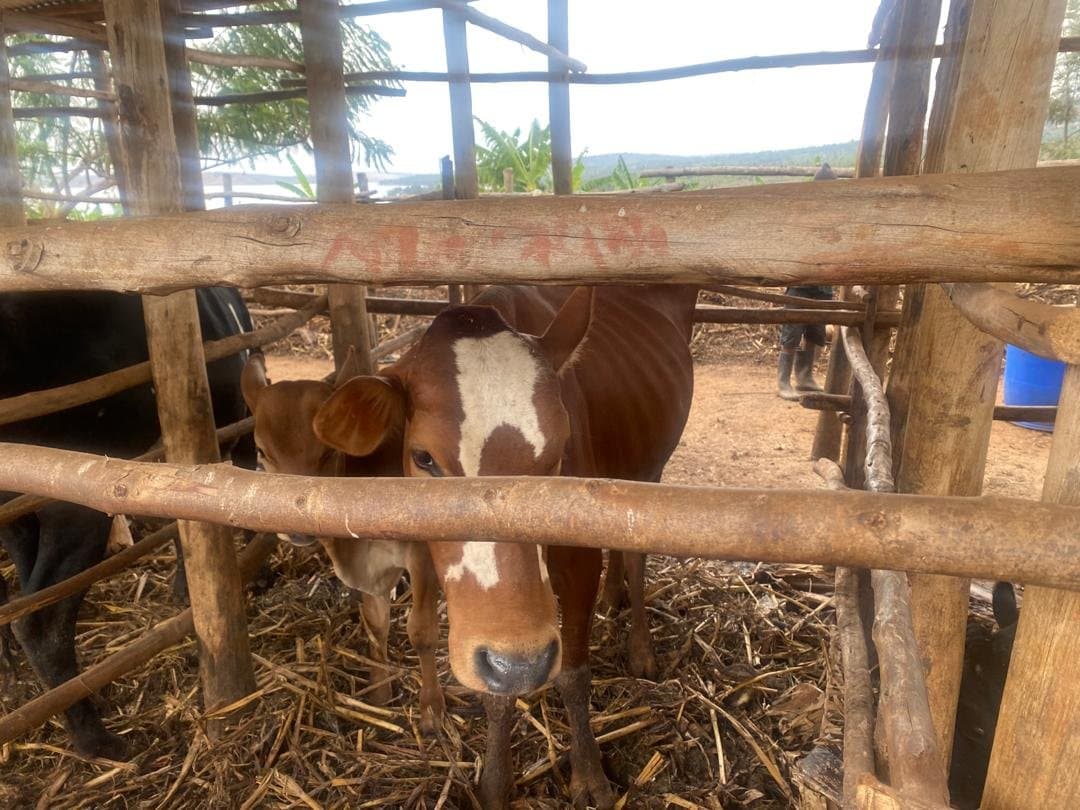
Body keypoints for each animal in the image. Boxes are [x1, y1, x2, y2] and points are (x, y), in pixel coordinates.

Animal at [239, 352, 444, 731]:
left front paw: (431, 711)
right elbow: (376, 623)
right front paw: (379, 691)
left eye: (326, 453)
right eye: (261, 451)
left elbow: (422, 632)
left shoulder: (423, 553)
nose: (297, 529)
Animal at [313, 284, 698, 808]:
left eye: (559, 453)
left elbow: (573, 671)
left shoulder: (578, 558)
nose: (522, 662)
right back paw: (613, 597)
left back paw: (640, 647)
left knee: (637, 553)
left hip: (649, 470)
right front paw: (496, 781)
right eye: (423, 457)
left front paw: (589, 775)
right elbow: (492, 688)